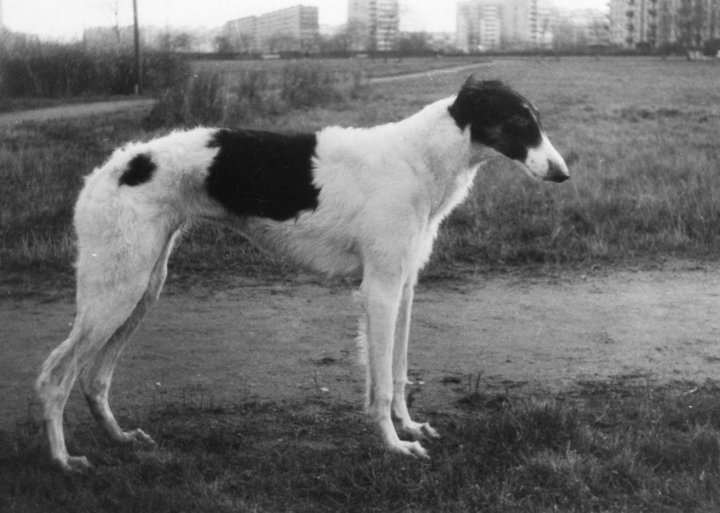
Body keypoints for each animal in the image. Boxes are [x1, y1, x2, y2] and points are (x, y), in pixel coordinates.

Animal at [36, 77, 569, 471]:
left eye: (536, 119)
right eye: (520, 120)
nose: (563, 174)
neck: (419, 158)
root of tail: (107, 169)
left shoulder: (405, 285)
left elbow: (397, 372)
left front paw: (410, 427)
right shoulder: (378, 290)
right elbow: (379, 381)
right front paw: (394, 445)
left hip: (143, 287)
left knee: (95, 379)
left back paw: (121, 439)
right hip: (117, 290)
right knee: (57, 375)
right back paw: (63, 460)